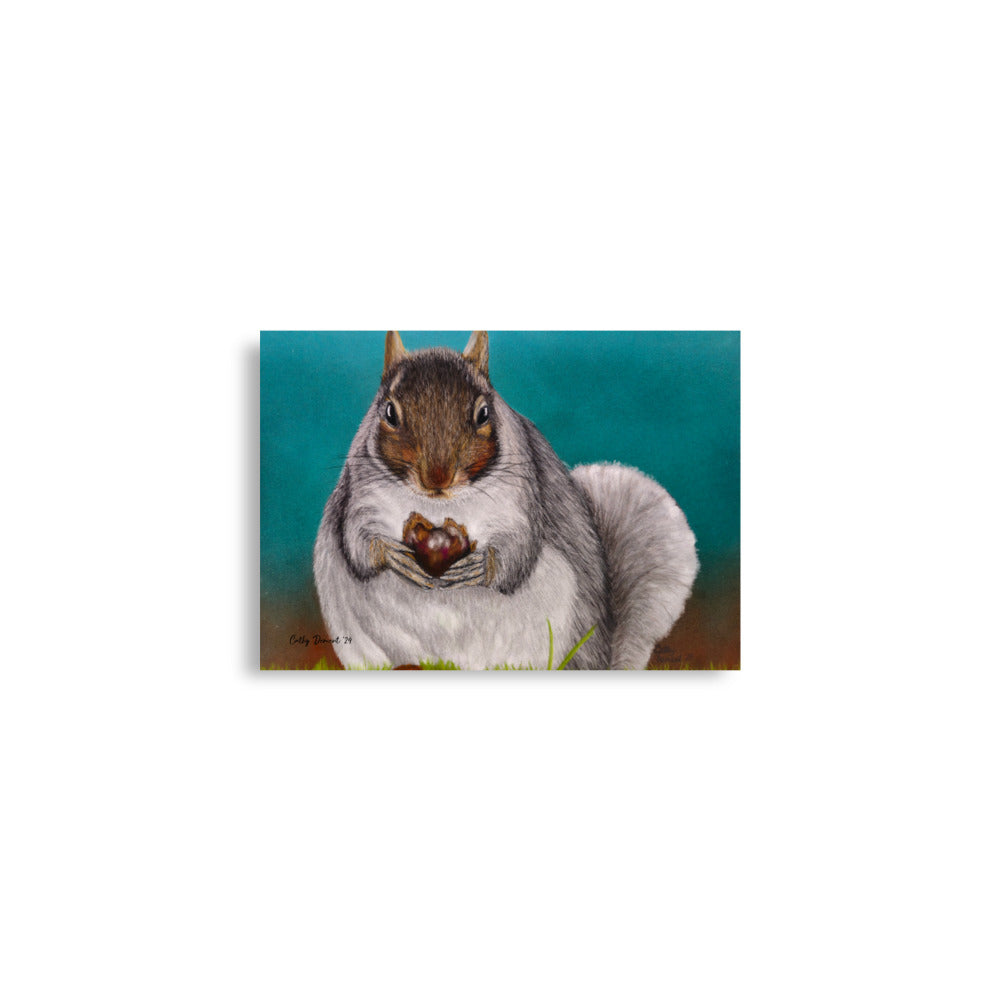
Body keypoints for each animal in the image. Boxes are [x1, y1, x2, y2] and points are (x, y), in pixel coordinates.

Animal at [313, 331, 698, 670]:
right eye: (389, 413)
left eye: (483, 413)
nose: (437, 478)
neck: (440, 505)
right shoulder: (361, 496)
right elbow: (357, 543)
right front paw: (392, 554)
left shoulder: (522, 499)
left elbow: (519, 550)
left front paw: (481, 566)